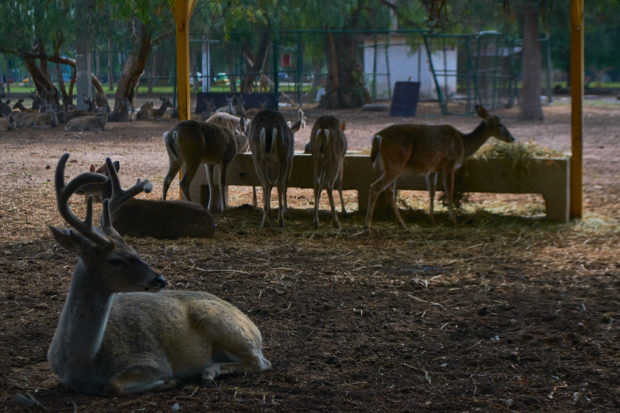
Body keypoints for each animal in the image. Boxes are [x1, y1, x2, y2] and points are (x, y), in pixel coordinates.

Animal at [47, 151, 270, 392]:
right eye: (116, 260)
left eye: (134, 250)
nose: (160, 279)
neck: (84, 362)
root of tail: (253, 326)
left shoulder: (154, 361)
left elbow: (113, 385)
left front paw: (170, 381)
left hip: (223, 326)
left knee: (261, 362)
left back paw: (209, 372)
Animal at [366, 104, 516, 232]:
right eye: (500, 124)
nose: (512, 138)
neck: (463, 144)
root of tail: (378, 137)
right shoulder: (449, 164)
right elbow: (449, 191)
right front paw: (454, 220)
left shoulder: (433, 169)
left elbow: (431, 192)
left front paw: (432, 219)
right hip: (395, 162)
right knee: (375, 187)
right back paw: (368, 227)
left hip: (392, 166)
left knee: (388, 190)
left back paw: (402, 224)